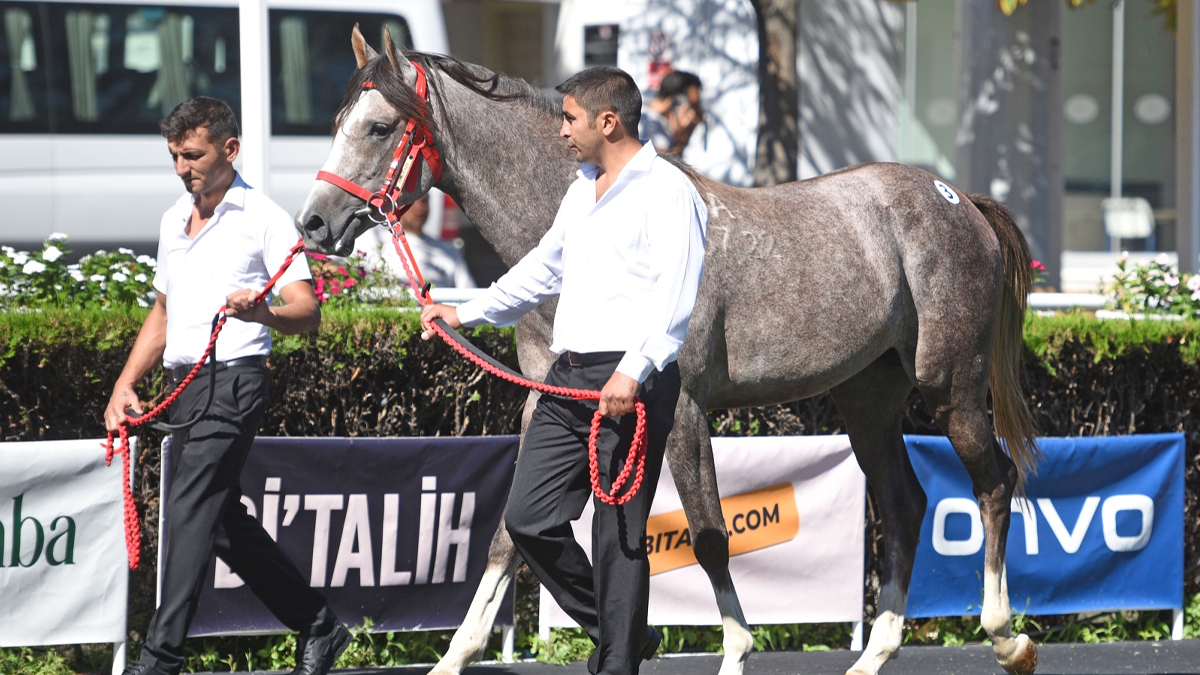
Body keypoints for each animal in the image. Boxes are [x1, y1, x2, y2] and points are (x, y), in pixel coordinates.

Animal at [297, 28, 1041, 672]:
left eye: (379, 127)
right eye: (337, 117)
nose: (313, 223)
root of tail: (957, 197)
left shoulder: (679, 406)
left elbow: (708, 533)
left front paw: (736, 651)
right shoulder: (548, 403)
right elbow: (511, 530)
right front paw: (455, 655)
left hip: (951, 386)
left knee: (993, 481)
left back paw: (1007, 637)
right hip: (868, 396)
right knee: (904, 504)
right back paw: (875, 653)